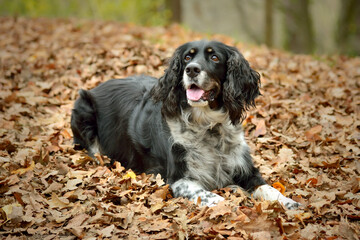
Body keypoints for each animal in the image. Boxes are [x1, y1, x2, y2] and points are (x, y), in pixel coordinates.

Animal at [70, 40, 300, 209]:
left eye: (214, 57)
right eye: (187, 57)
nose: (191, 70)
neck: (208, 126)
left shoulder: (245, 169)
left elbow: (270, 188)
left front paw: (291, 204)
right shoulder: (177, 179)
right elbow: (212, 197)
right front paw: (231, 204)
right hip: (83, 108)